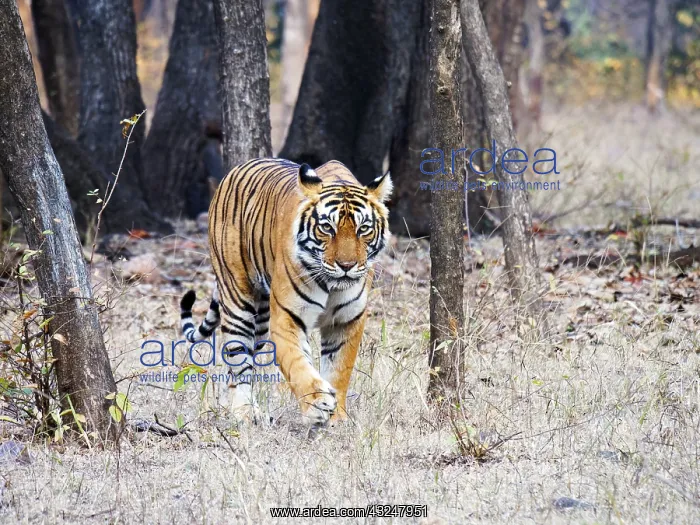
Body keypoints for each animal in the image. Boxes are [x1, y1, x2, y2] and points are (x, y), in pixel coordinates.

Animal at [180, 158, 392, 426]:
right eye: (327, 227)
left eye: (363, 229)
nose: (346, 265)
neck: (332, 284)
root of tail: (235, 170)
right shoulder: (287, 318)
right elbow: (297, 364)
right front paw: (317, 404)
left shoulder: (347, 321)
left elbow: (339, 369)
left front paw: (337, 418)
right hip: (238, 299)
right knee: (237, 360)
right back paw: (244, 412)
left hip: (260, 320)